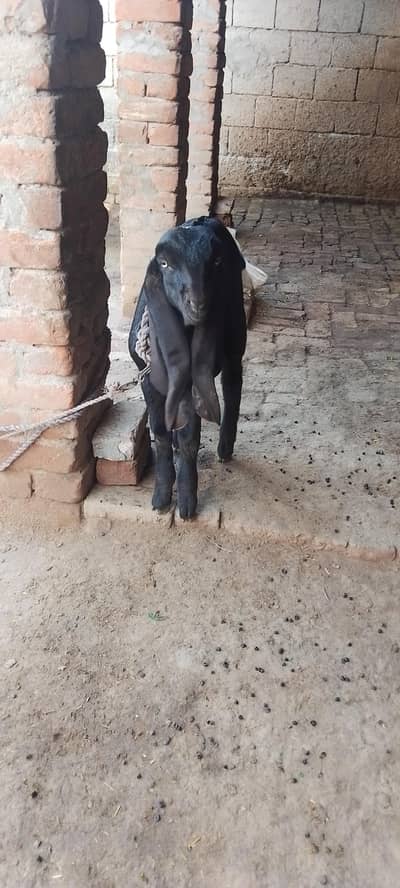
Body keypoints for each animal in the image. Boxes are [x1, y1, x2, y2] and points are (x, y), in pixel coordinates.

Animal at [128, 216, 247, 519]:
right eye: (164, 263)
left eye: (216, 262)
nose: (198, 303)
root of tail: (204, 219)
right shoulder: (147, 380)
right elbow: (158, 430)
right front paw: (160, 495)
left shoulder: (193, 383)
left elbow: (189, 438)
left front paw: (186, 500)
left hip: (236, 339)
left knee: (233, 386)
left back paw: (225, 447)